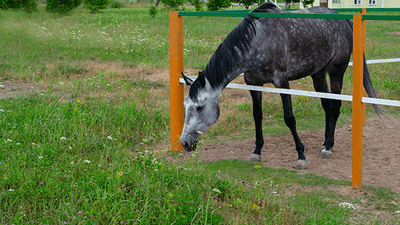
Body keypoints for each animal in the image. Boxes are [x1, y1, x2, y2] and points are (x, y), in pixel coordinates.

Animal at [180, 3, 380, 169]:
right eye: (185, 105)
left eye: (199, 107)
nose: (184, 143)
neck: (258, 41)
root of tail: (342, 19)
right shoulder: (254, 84)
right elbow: (257, 116)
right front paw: (256, 152)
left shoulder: (282, 82)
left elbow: (289, 118)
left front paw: (301, 156)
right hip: (318, 73)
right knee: (327, 105)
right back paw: (324, 143)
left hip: (336, 71)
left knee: (336, 105)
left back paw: (329, 147)